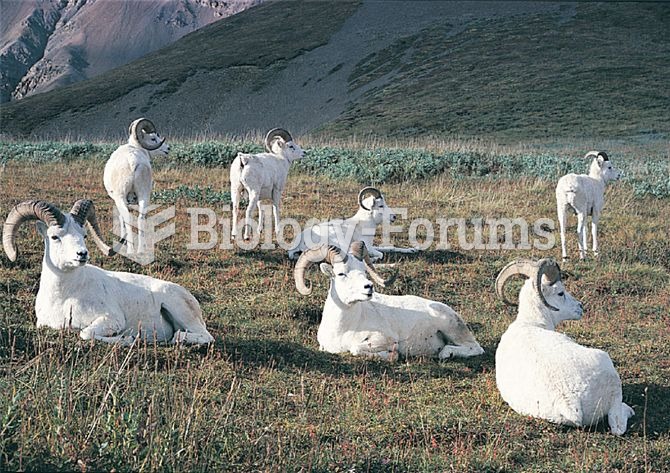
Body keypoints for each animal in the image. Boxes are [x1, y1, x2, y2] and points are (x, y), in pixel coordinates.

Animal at [1, 197, 214, 344]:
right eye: (55, 237)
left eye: (84, 235)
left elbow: (85, 333)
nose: (82, 254)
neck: (63, 297)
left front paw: (127, 339)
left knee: (200, 336)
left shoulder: (111, 320)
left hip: (180, 311)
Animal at [104, 119, 171, 254]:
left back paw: (130, 250)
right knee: (141, 218)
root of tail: (132, 162)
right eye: (153, 138)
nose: (168, 148)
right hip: (144, 196)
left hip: (121, 198)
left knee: (128, 219)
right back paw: (141, 249)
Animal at [288, 187, 420, 262]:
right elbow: (381, 254)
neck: (361, 226)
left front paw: (413, 249)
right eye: (381, 205)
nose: (394, 217)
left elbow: (390, 248)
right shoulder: (369, 247)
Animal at [294, 242, 484, 360]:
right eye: (341, 273)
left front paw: (393, 356)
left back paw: (445, 353)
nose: (368, 287)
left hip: (453, 330)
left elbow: (355, 349)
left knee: (475, 348)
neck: (342, 328)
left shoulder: (382, 340)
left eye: (364, 271)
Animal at [498, 258, 636, 436]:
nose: (580, 307)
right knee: (617, 424)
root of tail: (570, 401)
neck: (531, 323)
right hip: (612, 382)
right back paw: (629, 410)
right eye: (560, 293)